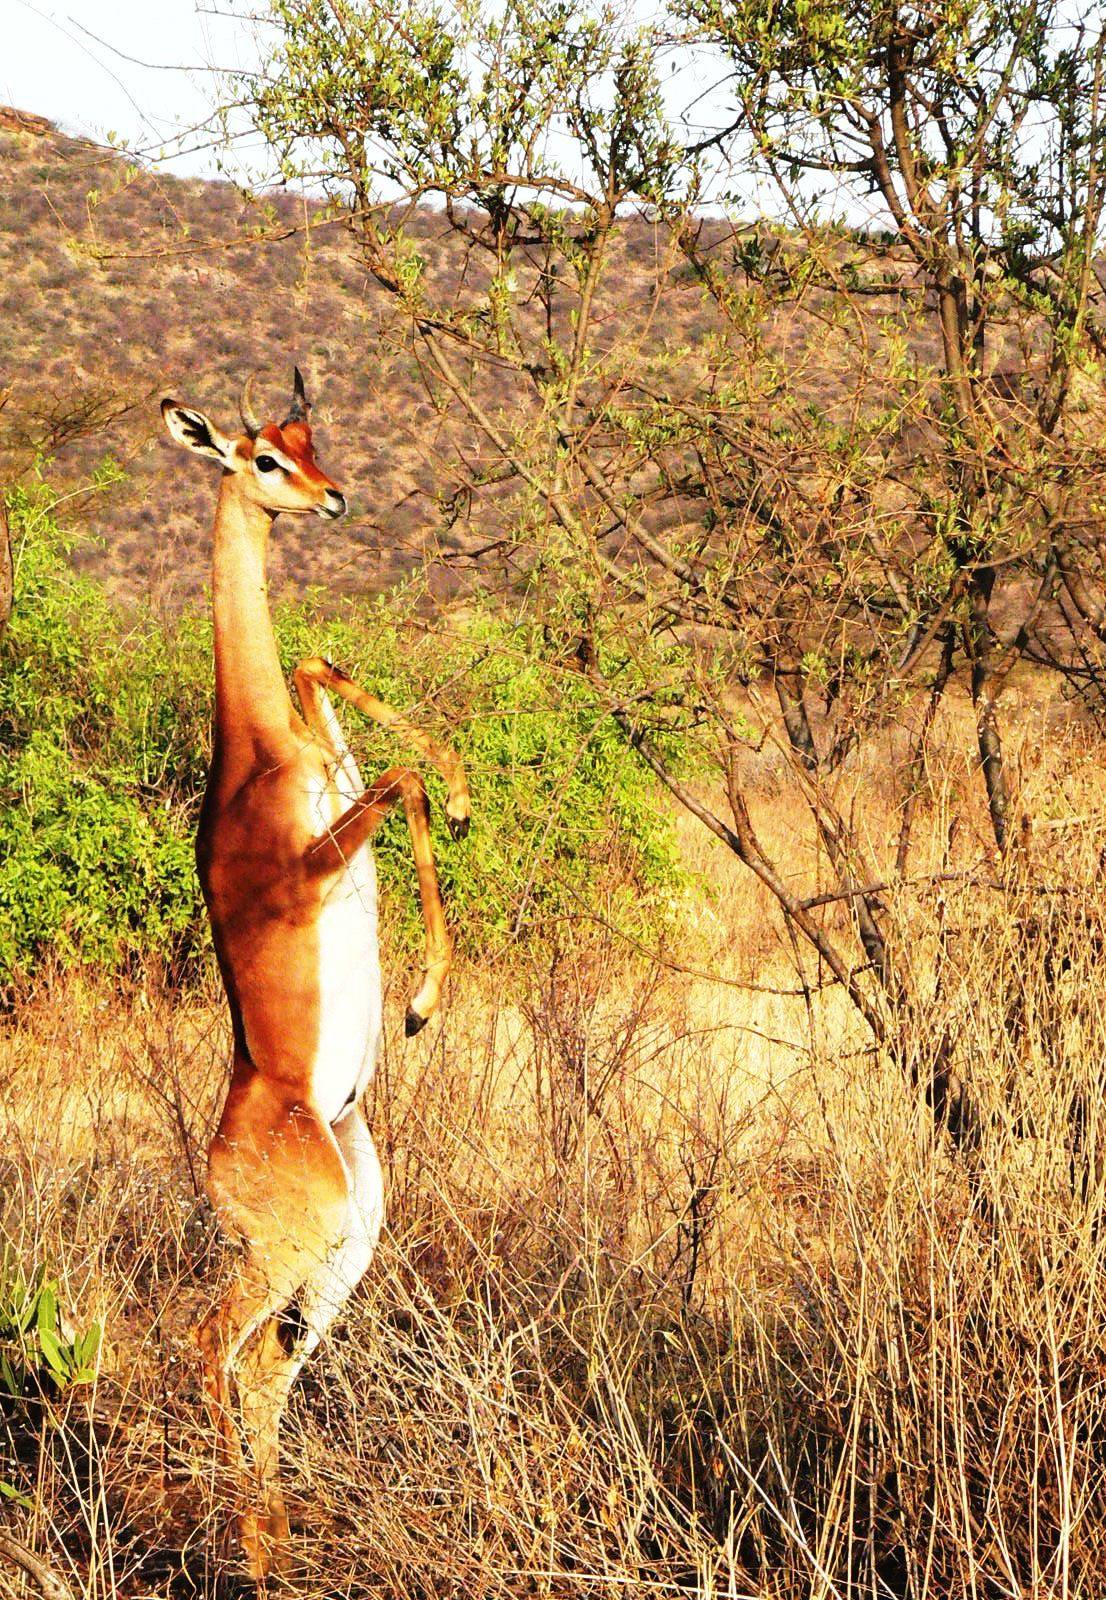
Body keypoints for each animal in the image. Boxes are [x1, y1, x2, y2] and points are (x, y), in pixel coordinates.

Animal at [160, 368, 470, 1580]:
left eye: (307, 439)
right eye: (260, 459)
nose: (333, 496)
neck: (253, 750)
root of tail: (218, 1160)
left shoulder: (325, 752)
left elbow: (320, 665)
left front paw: (467, 794)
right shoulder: (313, 860)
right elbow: (397, 782)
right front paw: (423, 1000)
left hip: (343, 1248)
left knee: (262, 1370)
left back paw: (278, 1544)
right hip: (286, 1253)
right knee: (208, 1346)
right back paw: (248, 1545)